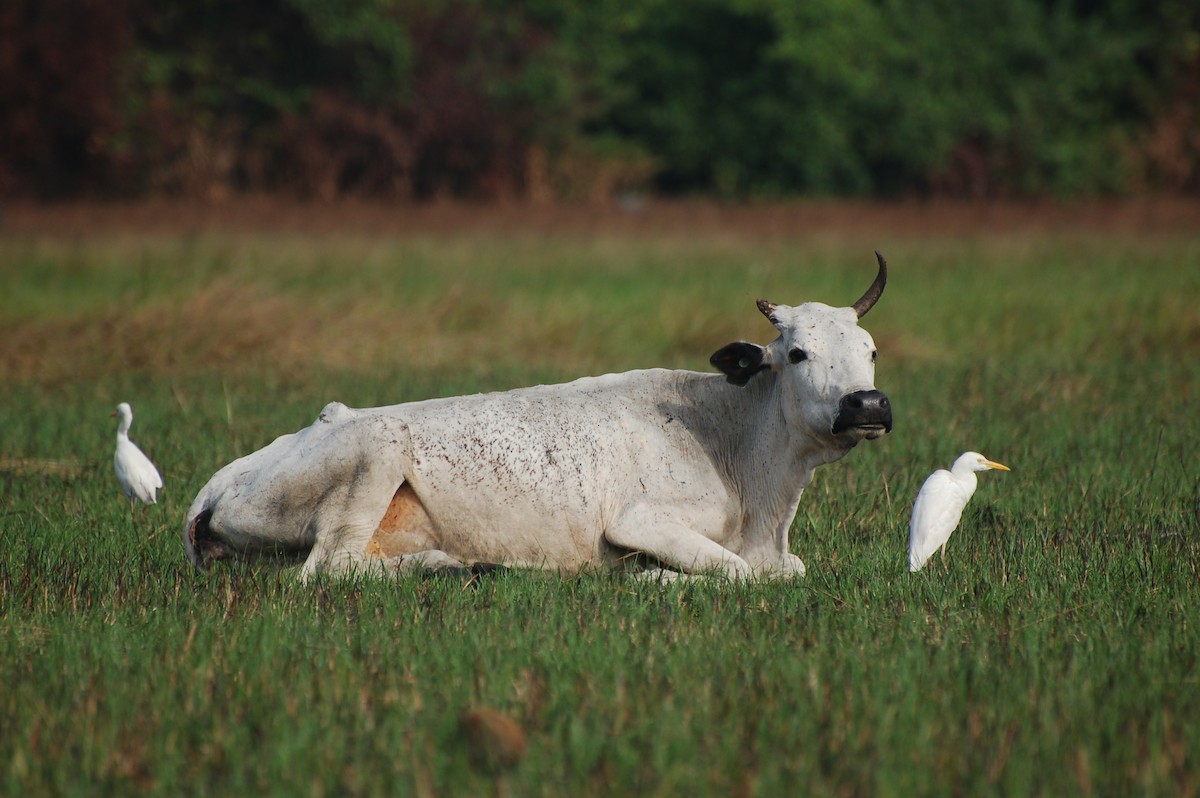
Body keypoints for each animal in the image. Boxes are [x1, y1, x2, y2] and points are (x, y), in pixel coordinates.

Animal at [180, 255, 892, 578]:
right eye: (797, 352)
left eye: (871, 351)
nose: (867, 404)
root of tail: (221, 481)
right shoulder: (638, 519)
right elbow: (740, 575)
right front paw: (650, 579)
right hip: (376, 450)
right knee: (330, 568)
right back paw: (457, 566)